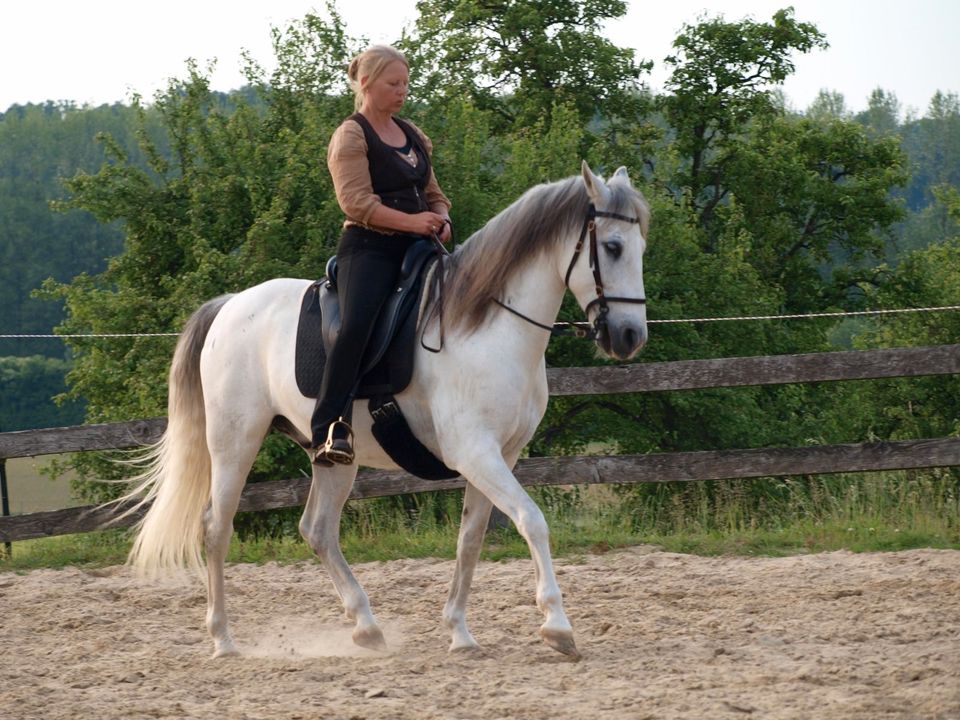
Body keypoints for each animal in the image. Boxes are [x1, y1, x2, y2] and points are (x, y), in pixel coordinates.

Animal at [118, 162, 644, 660]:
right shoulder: (475, 453)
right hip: (234, 444)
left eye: (642, 246)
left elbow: (470, 539)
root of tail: (229, 306)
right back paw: (223, 639)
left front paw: (460, 633)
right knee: (216, 528)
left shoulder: (501, 455)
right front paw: (557, 627)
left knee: (317, 529)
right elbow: (532, 520)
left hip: (332, 452)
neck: (488, 327)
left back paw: (366, 626)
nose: (630, 337)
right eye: (613, 246)